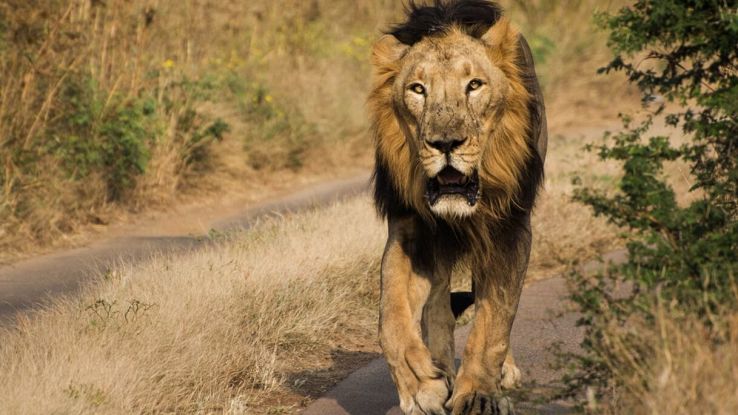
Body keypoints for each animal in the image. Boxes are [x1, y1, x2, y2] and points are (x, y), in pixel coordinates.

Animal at [368, 1, 547, 414]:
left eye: (475, 85)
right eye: (418, 89)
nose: (445, 143)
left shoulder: (509, 227)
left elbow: (494, 319)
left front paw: (479, 393)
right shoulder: (409, 227)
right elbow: (391, 318)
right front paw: (421, 386)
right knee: (436, 305)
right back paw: (439, 364)